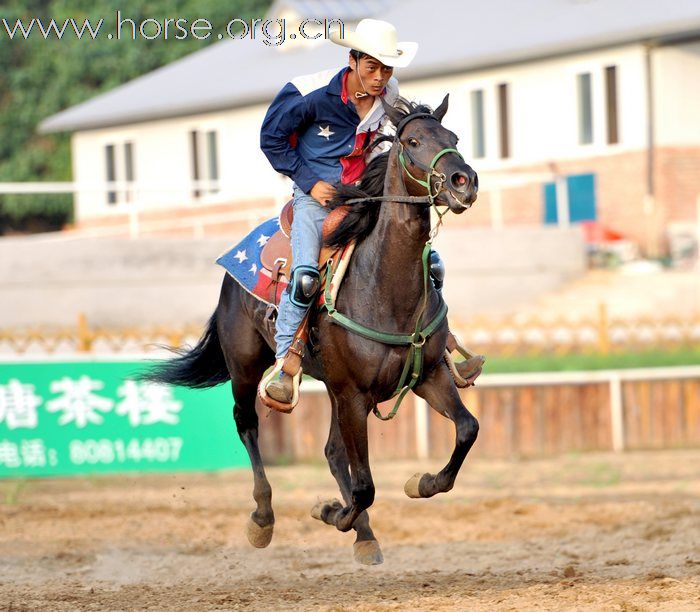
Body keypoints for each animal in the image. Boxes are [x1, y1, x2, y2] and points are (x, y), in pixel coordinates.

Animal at [142, 93, 482, 568]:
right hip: (248, 366)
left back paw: (364, 535)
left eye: (453, 137)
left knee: (333, 452)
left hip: (339, 391)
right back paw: (263, 518)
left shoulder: (426, 376)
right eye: (413, 141)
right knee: (247, 424)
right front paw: (331, 512)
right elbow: (365, 485)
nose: (463, 181)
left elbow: (466, 430)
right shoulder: (354, 394)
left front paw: (421, 483)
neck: (383, 287)